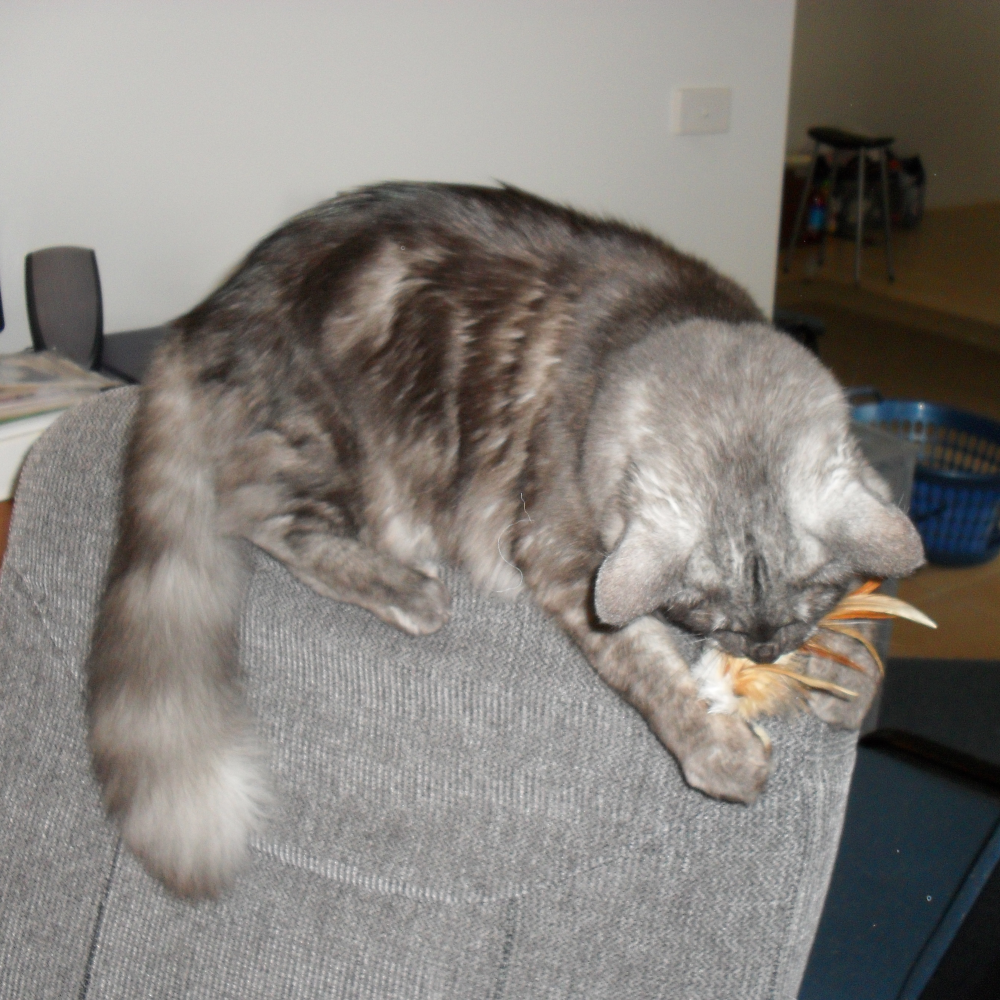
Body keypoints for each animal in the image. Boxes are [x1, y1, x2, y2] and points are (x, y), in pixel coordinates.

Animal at [86, 182, 920, 900]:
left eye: (800, 610)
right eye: (704, 619)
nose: (765, 654)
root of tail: (204, 313)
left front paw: (841, 675)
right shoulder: (563, 557)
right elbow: (647, 669)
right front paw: (719, 747)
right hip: (324, 448)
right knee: (258, 516)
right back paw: (410, 589)